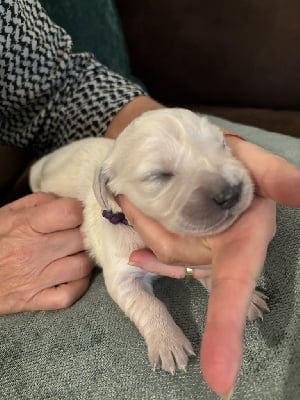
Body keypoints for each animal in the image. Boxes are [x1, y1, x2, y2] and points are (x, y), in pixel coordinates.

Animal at [30, 108, 268, 374]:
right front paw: (168, 342)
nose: (230, 193)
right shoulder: (123, 274)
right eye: (159, 176)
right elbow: (150, 305)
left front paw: (247, 300)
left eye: (222, 145)